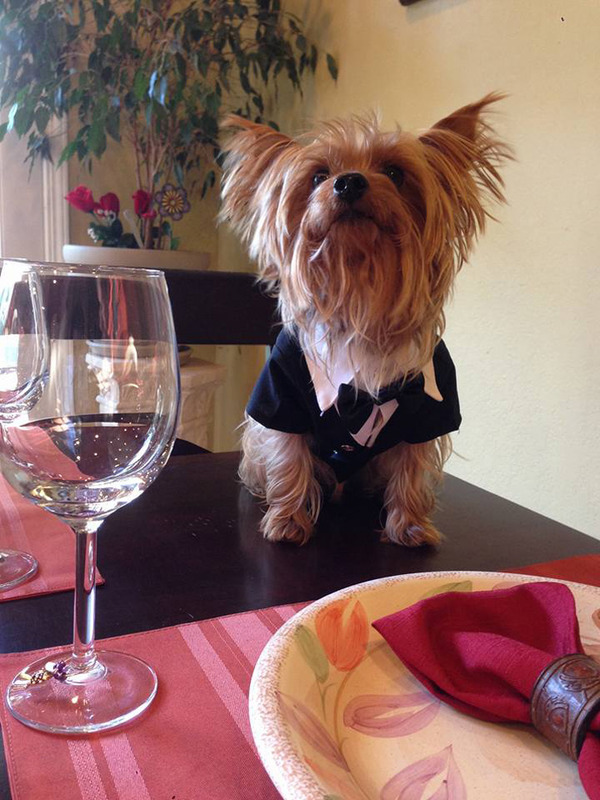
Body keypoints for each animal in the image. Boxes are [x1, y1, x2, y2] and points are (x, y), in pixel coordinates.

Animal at [220, 95, 509, 546]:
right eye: (319, 176)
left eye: (394, 172)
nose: (349, 182)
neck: (360, 299)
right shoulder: (280, 392)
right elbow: (287, 453)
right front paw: (287, 521)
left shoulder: (432, 406)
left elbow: (413, 462)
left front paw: (410, 525)